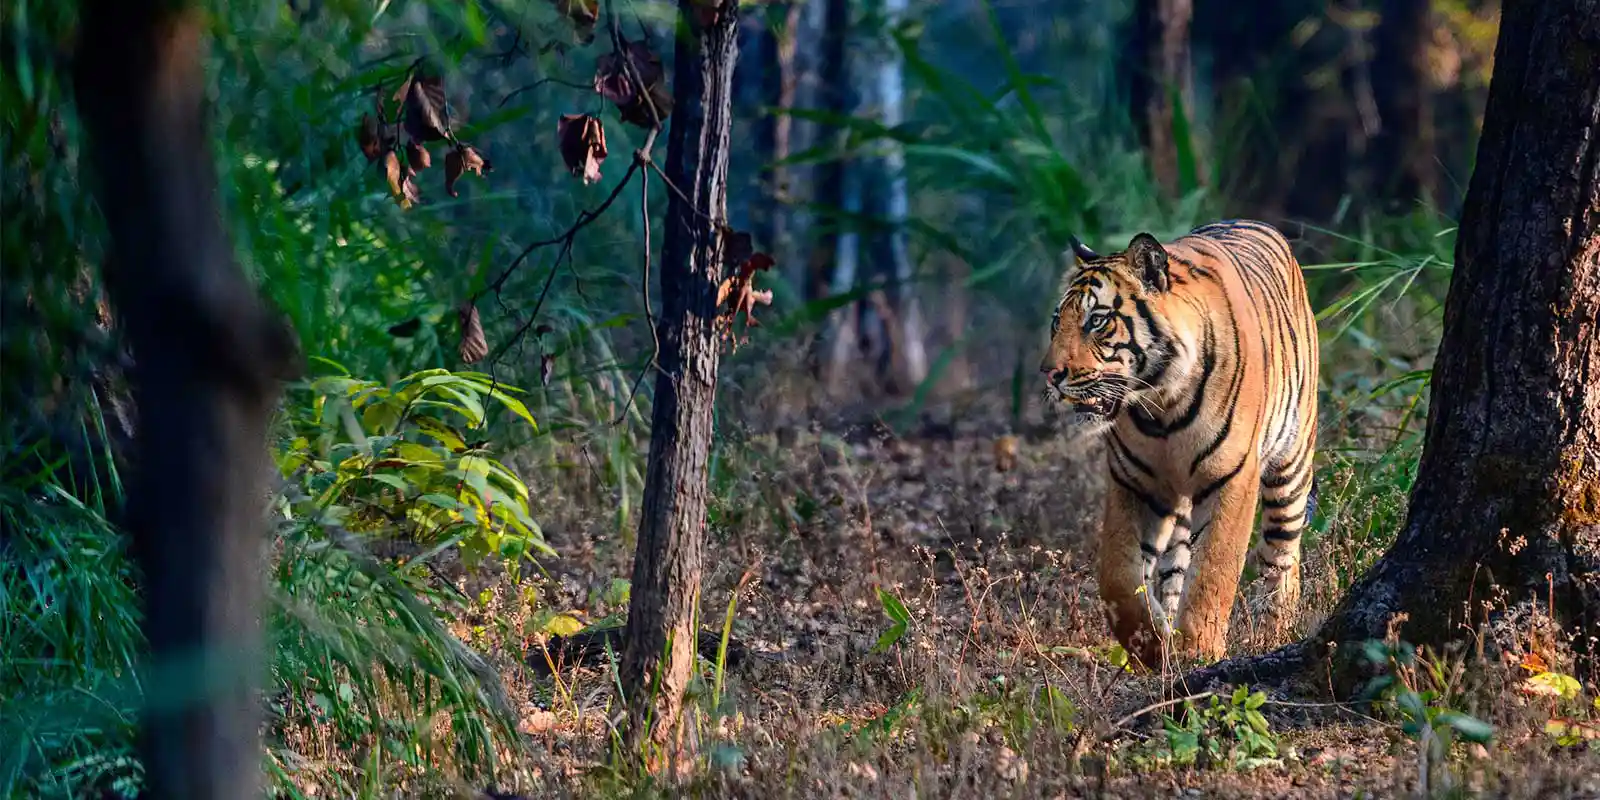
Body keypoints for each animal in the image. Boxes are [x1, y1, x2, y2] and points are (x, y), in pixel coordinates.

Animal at [1038, 220, 1320, 669]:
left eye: (1097, 321)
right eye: (1056, 322)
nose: (1049, 374)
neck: (1161, 406)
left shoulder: (1233, 476)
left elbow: (1214, 569)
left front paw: (1197, 650)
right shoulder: (1133, 482)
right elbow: (1118, 576)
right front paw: (1152, 647)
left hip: (1291, 467)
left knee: (1282, 556)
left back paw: (1277, 630)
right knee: (1174, 567)